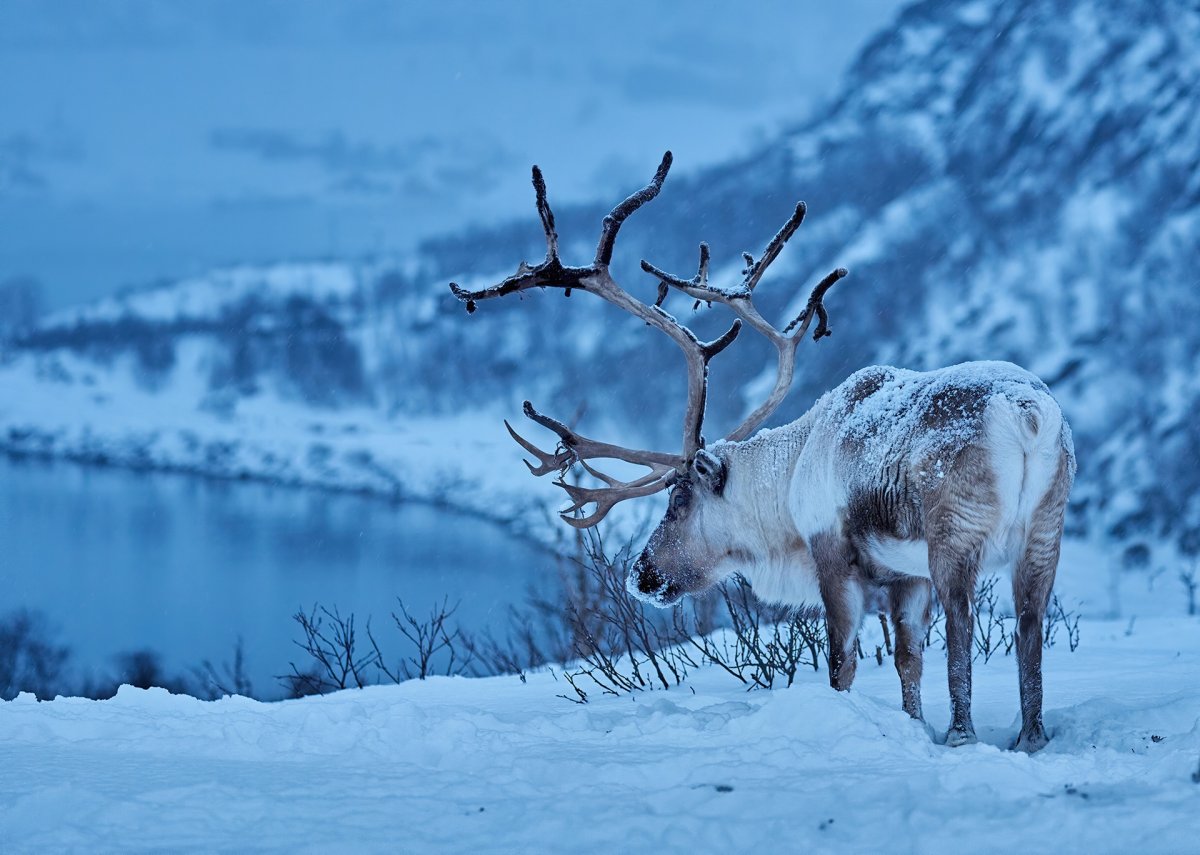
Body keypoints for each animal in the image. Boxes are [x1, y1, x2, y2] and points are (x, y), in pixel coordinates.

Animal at [450, 152, 1076, 753]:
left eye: (678, 502)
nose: (641, 575)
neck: (789, 479)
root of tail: (1027, 416)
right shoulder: (906, 574)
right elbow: (907, 661)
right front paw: (912, 727)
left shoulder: (834, 555)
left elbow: (842, 664)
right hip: (1045, 532)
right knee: (1029, 627)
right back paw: (1030, 738)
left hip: (955, 535)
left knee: (966, 627)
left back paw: (963, 736)